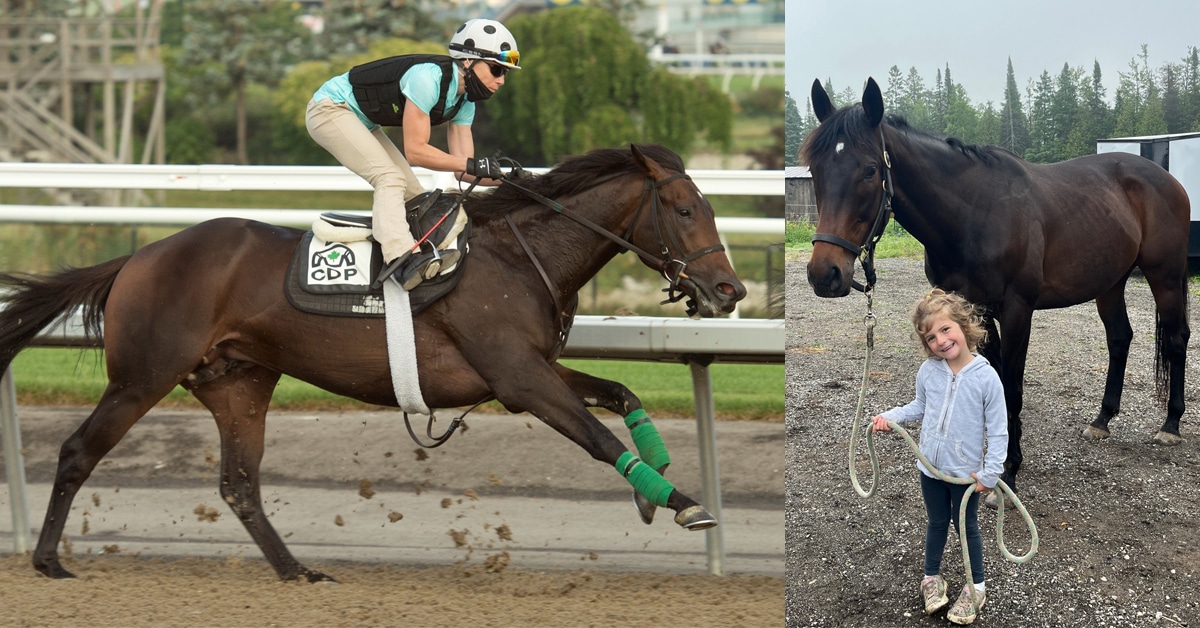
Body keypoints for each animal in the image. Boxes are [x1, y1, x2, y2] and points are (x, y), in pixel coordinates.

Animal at [0, 143, 747, 582]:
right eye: (684, 209)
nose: (729, 291)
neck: (517, 256)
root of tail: (139, 255)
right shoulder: (521, 379)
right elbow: (596, 436)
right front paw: (681, 503)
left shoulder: (530, 371)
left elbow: (621, 393)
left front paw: (655, 487)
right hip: (141, 376)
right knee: (77, 451)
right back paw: (47, 560)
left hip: (240, 383)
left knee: (239, 483)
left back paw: (297, 570)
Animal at [802, 77, 1191, 496]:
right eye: (815, 170)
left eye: (870, 170)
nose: (824, 274)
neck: (973, 213)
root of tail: (1167, 179)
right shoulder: (976, 309)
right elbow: (997, 382)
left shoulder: (1017, 310)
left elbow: (1013, 388)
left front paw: (1009, 471)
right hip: (1111, 281)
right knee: (1120, 337)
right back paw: (1101, 420)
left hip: (1165, 275)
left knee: (1176, 338)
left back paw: (1171, 426)